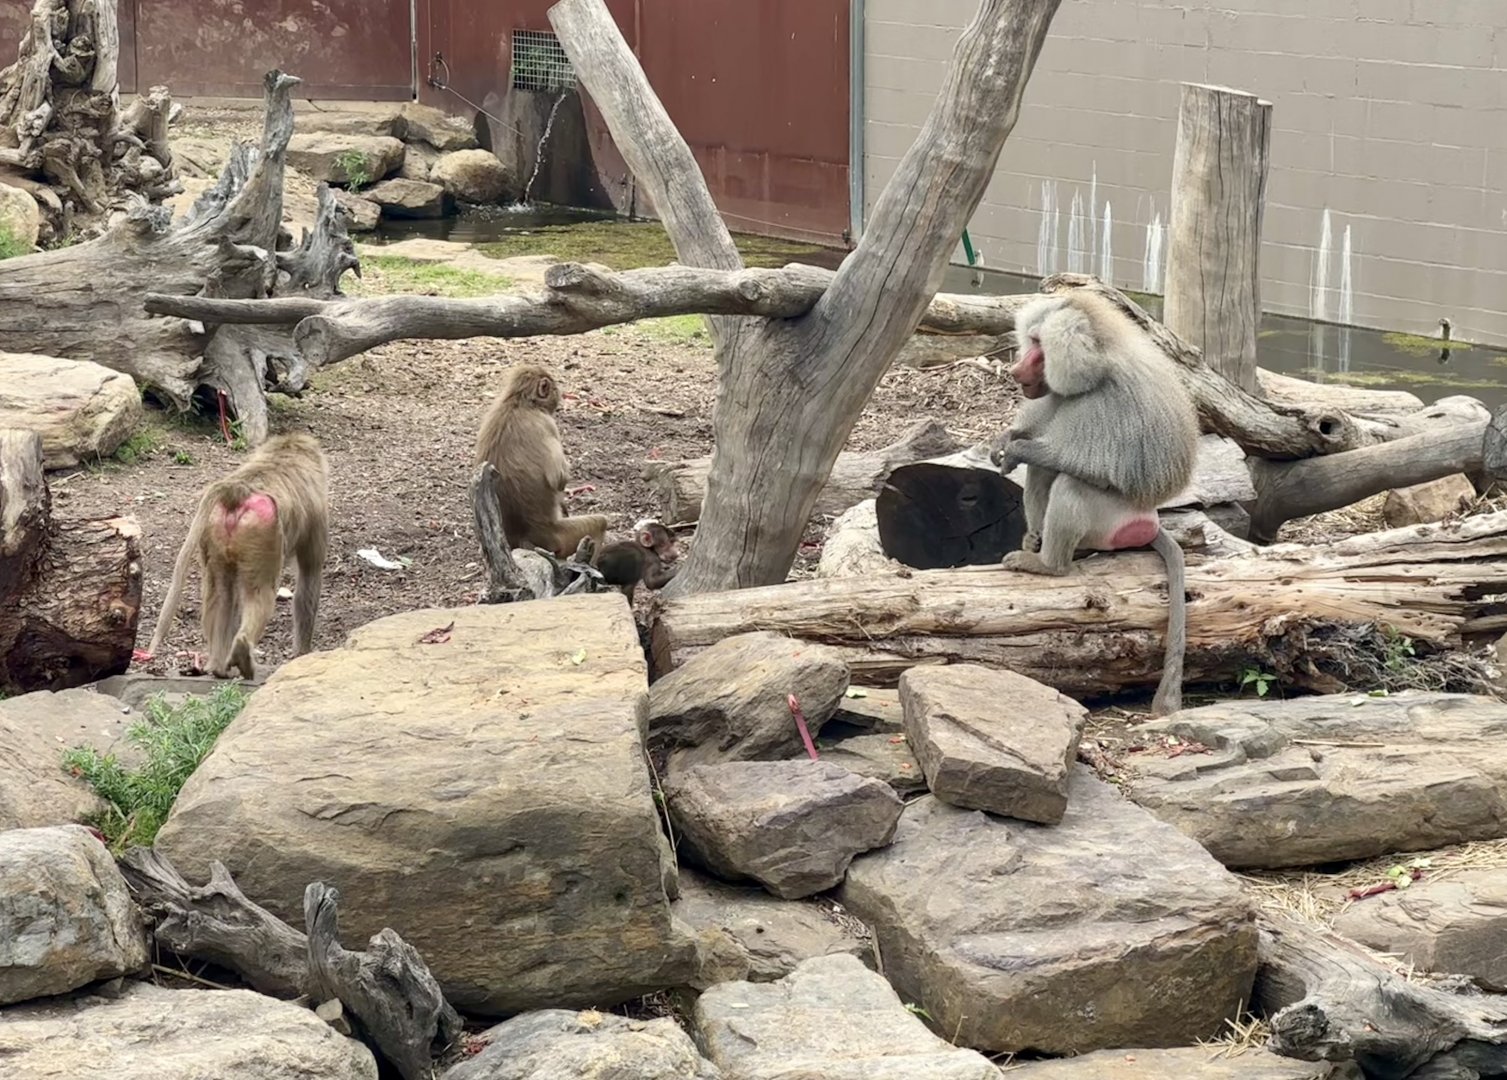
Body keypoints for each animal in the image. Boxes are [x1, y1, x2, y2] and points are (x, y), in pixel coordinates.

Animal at [148, 432, 329, 680]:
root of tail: (237, 491)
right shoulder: (317, 516)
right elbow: (309, 578)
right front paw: (302, 655)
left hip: (214, 528)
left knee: (221, 594)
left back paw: (218, 667)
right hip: (262, 533)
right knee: (260, 594)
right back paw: (243, 652)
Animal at [474, 363, 609, 560]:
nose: (559, 393)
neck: (520, 402)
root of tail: (523, 537)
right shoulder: (547, 423)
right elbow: (558, 478)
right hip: (558, 537)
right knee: (600, 523)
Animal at [993, 291, 1199, 716]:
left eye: (1038, 345)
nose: (1016, 370)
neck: (1097, 367)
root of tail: (1151, 521)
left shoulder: (1108, 408)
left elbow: (1091, 468)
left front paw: (1016, 448)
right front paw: (1006, 440)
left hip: (1113, 520)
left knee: (1069, 483)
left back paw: (1046, 564)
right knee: (1043, 474)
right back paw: (1036, 543)